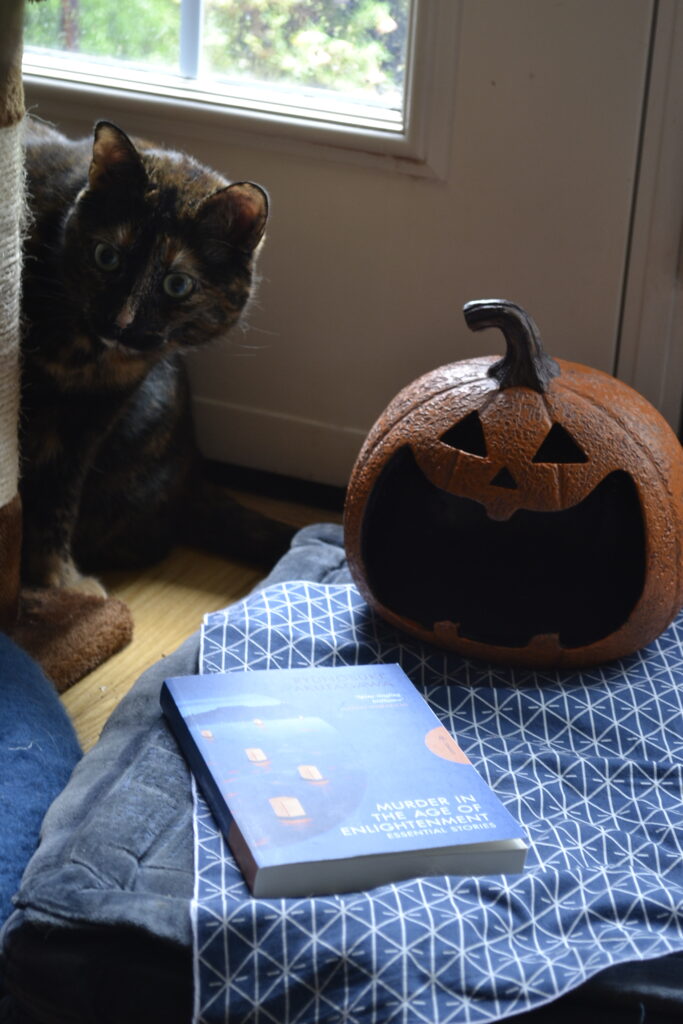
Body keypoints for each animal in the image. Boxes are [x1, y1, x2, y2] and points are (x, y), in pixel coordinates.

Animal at [20, 117, 294, 593]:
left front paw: (59, 585)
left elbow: (57, 500)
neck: (86, 358)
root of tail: (194, 474)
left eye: (177, 284)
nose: (120, 323)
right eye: (106, 256)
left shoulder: (93, 416)